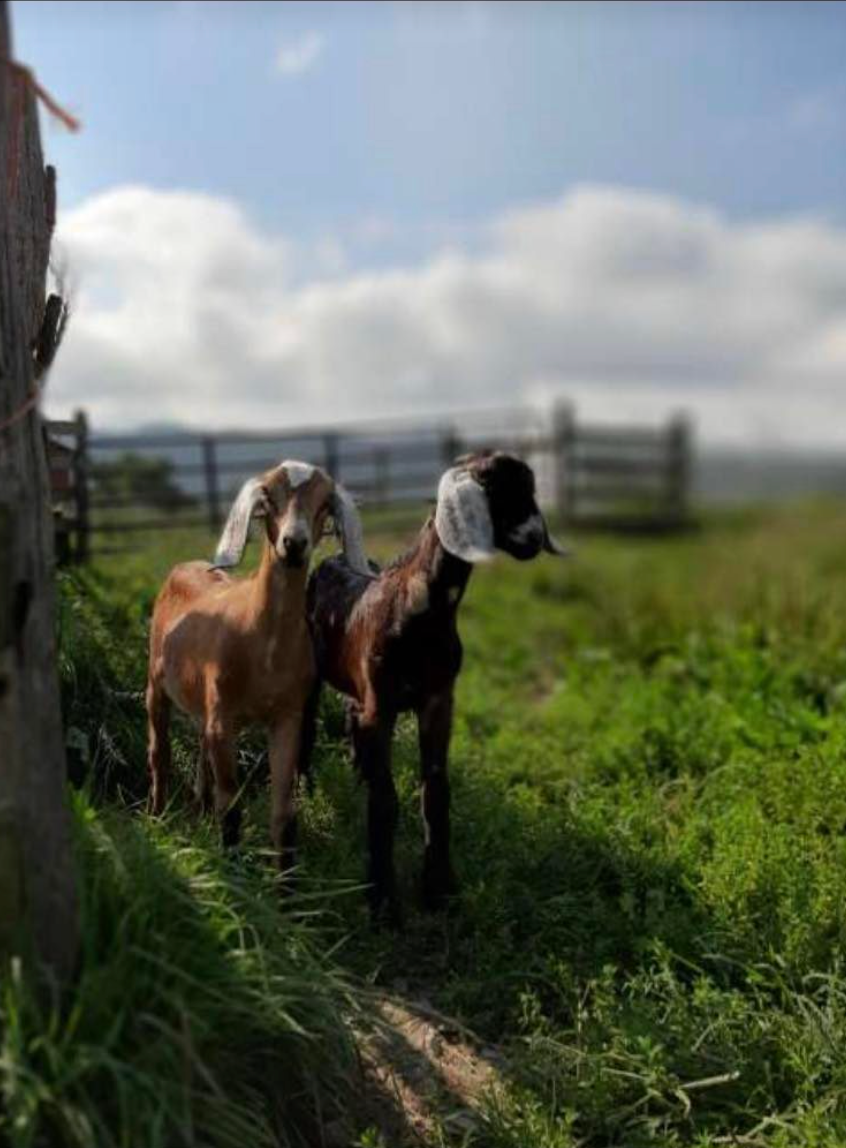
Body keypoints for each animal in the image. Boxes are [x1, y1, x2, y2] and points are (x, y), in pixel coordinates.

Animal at [146, 460, 368, 874]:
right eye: (270, 497)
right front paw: (233, 873)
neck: (264, 647)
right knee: (160, 754)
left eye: (323, 503)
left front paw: (287, 886)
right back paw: (157, 817)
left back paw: (198, 811)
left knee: (200, 754)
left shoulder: (286, 718)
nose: (294, 543)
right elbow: (231, 808)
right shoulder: (224, 719)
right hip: (155, 684)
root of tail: (186, 566)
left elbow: (284, 815)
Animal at [306, 450, 566, 923]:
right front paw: (383, 900)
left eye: (530, 489)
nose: (534, 538)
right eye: (490, 487)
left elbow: (436, 792)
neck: (417, 607)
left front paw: (440, 888)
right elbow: (386, 800)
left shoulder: (438, 700)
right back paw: (306, 789)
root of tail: (333, 558)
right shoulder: (383, 704)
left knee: (351, 717)